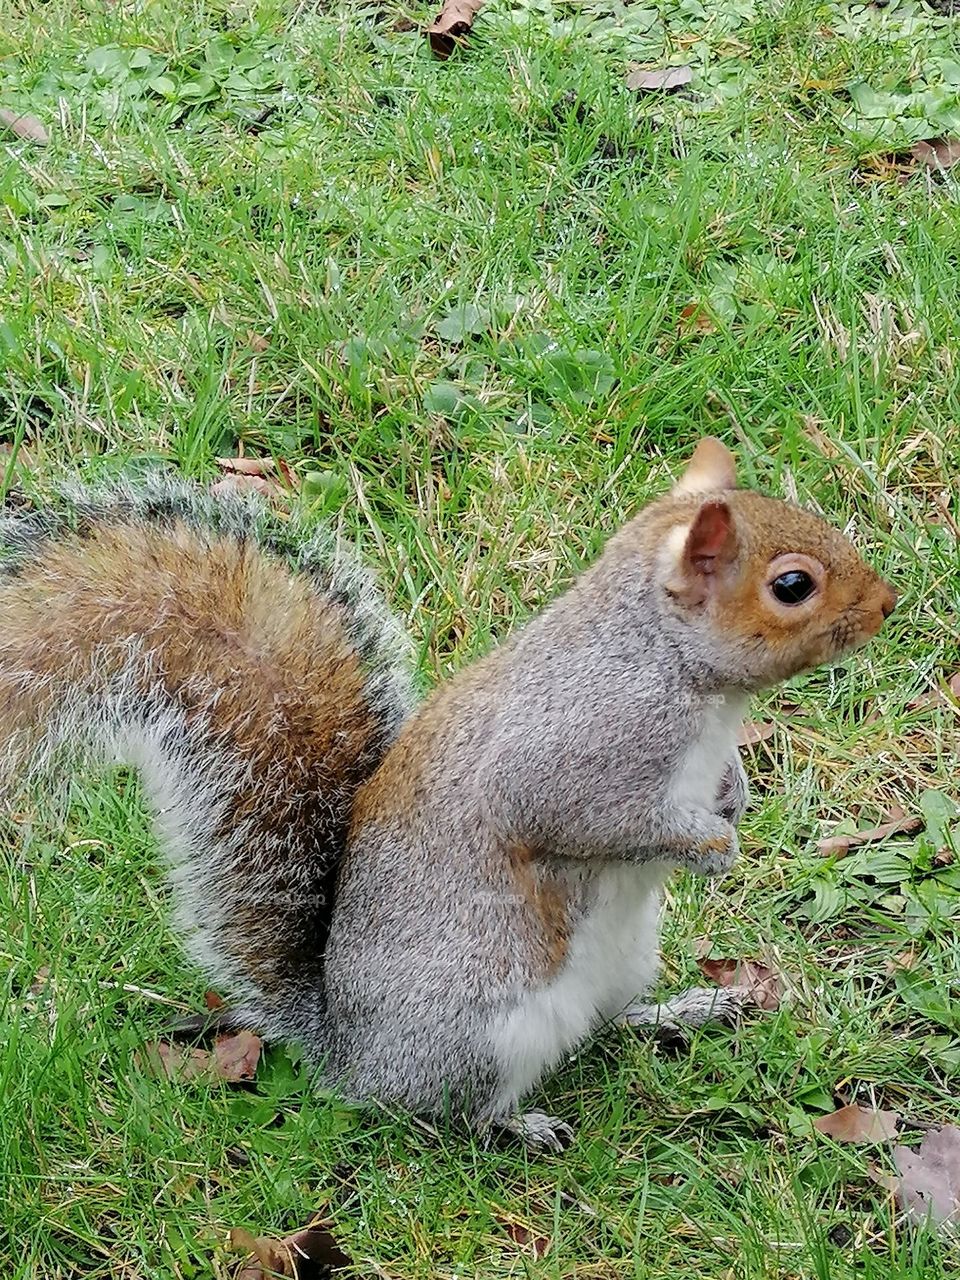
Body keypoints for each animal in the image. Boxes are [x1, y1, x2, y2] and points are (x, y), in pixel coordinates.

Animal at [0, 438, 895, 1151]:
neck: (670, 666)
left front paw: (734, 798)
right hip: (483, 1035)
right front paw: (711, 845)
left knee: (608, 1024)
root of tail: (351, 1053)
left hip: (626, 958)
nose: (888, 603)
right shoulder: (579, 752)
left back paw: (684, 1011)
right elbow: (596, 819)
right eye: (792, 586)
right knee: (441, 1113)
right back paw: (516, 1126)